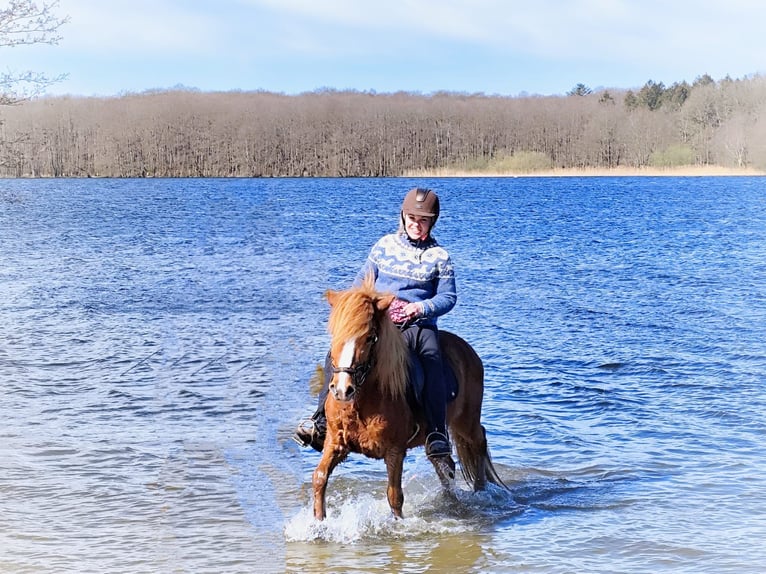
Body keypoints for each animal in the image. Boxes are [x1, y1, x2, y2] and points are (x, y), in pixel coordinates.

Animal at [311, 275, 507, 520]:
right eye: (336, 334)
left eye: (370, 338)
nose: (341, 390)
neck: (362, 402)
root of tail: (468, 351)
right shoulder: (335, 443)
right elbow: (319, 478)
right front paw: (318, 524)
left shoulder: (395, 451)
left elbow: (395, 496)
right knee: (445, 465)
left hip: (466, 422)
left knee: (478, 444)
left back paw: (480, 493)